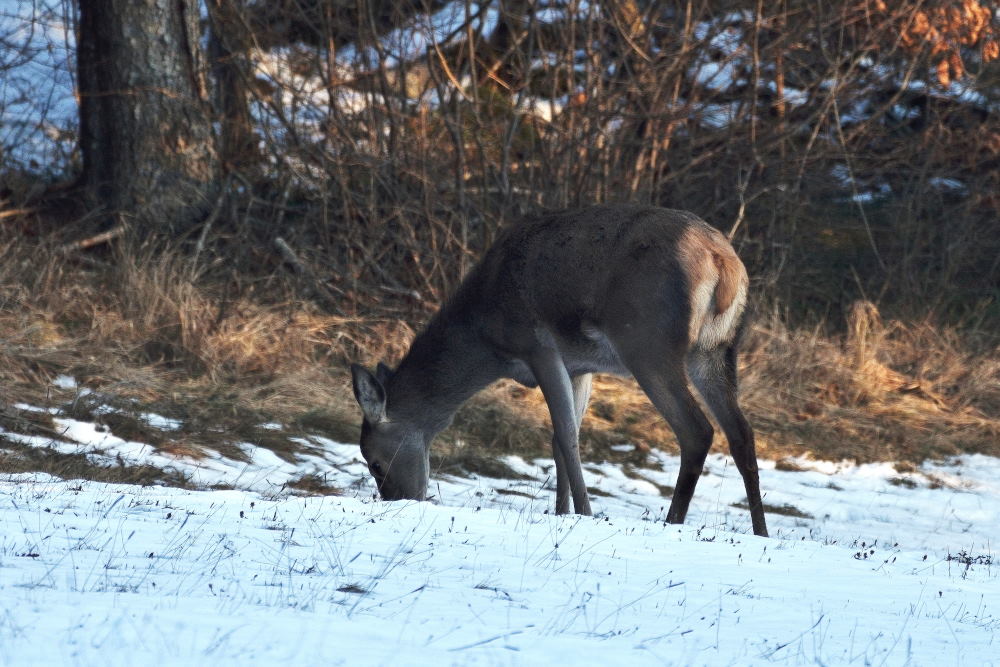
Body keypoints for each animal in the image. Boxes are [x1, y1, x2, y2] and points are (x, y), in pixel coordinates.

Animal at [354, 204, 772, 536]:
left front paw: (584, 513)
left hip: (647, 341)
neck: (484, 331)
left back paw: (673, 521)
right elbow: (559, 440)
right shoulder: (579, 366)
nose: (401, 500)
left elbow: (567, 437)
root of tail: (724, 263)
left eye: (374, 463)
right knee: (741, 434)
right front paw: (562, 511)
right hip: (715, 348)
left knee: (697, 430)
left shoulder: (537, 344)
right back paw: (761, 531)